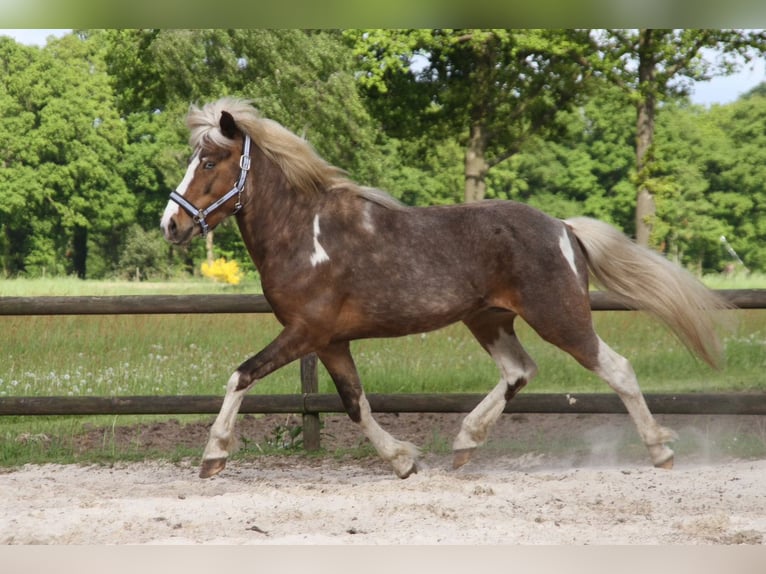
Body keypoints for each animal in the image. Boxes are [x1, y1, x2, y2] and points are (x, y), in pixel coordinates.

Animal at [160, 97, 727, 479]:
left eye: (208, 163)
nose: (171, 225)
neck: (306, 235)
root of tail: (564, 228)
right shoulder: (331, 341)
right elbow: (355, 402)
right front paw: (402, 460)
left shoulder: (305, 332)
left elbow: (241, 376)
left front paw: (213, 455)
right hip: (489, 319)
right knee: (519, 371)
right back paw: (465, 443)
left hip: (560, 318)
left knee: (617, 369)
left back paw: (661, 450)